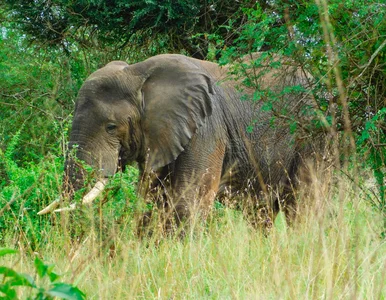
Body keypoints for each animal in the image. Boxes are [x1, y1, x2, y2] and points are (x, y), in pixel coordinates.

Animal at [39, 52, 322, 229]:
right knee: (261, 212)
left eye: (111, 127)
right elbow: (151, 201)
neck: (138, 73)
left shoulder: (206, 128)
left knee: (304, 201)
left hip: (314, 131)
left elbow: (189, 203)